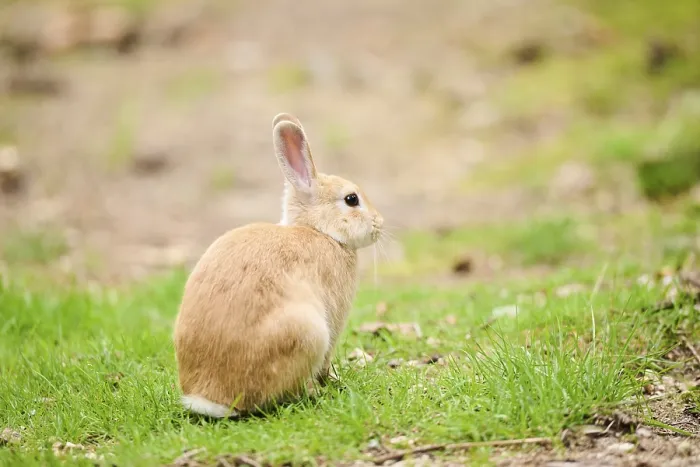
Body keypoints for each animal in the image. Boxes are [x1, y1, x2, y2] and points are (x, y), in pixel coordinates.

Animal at [173, 113, 384, 418]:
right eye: (351, 199)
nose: (380, 223)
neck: (320, 231)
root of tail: (215, 398)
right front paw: (332, 380)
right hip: (309, 332)